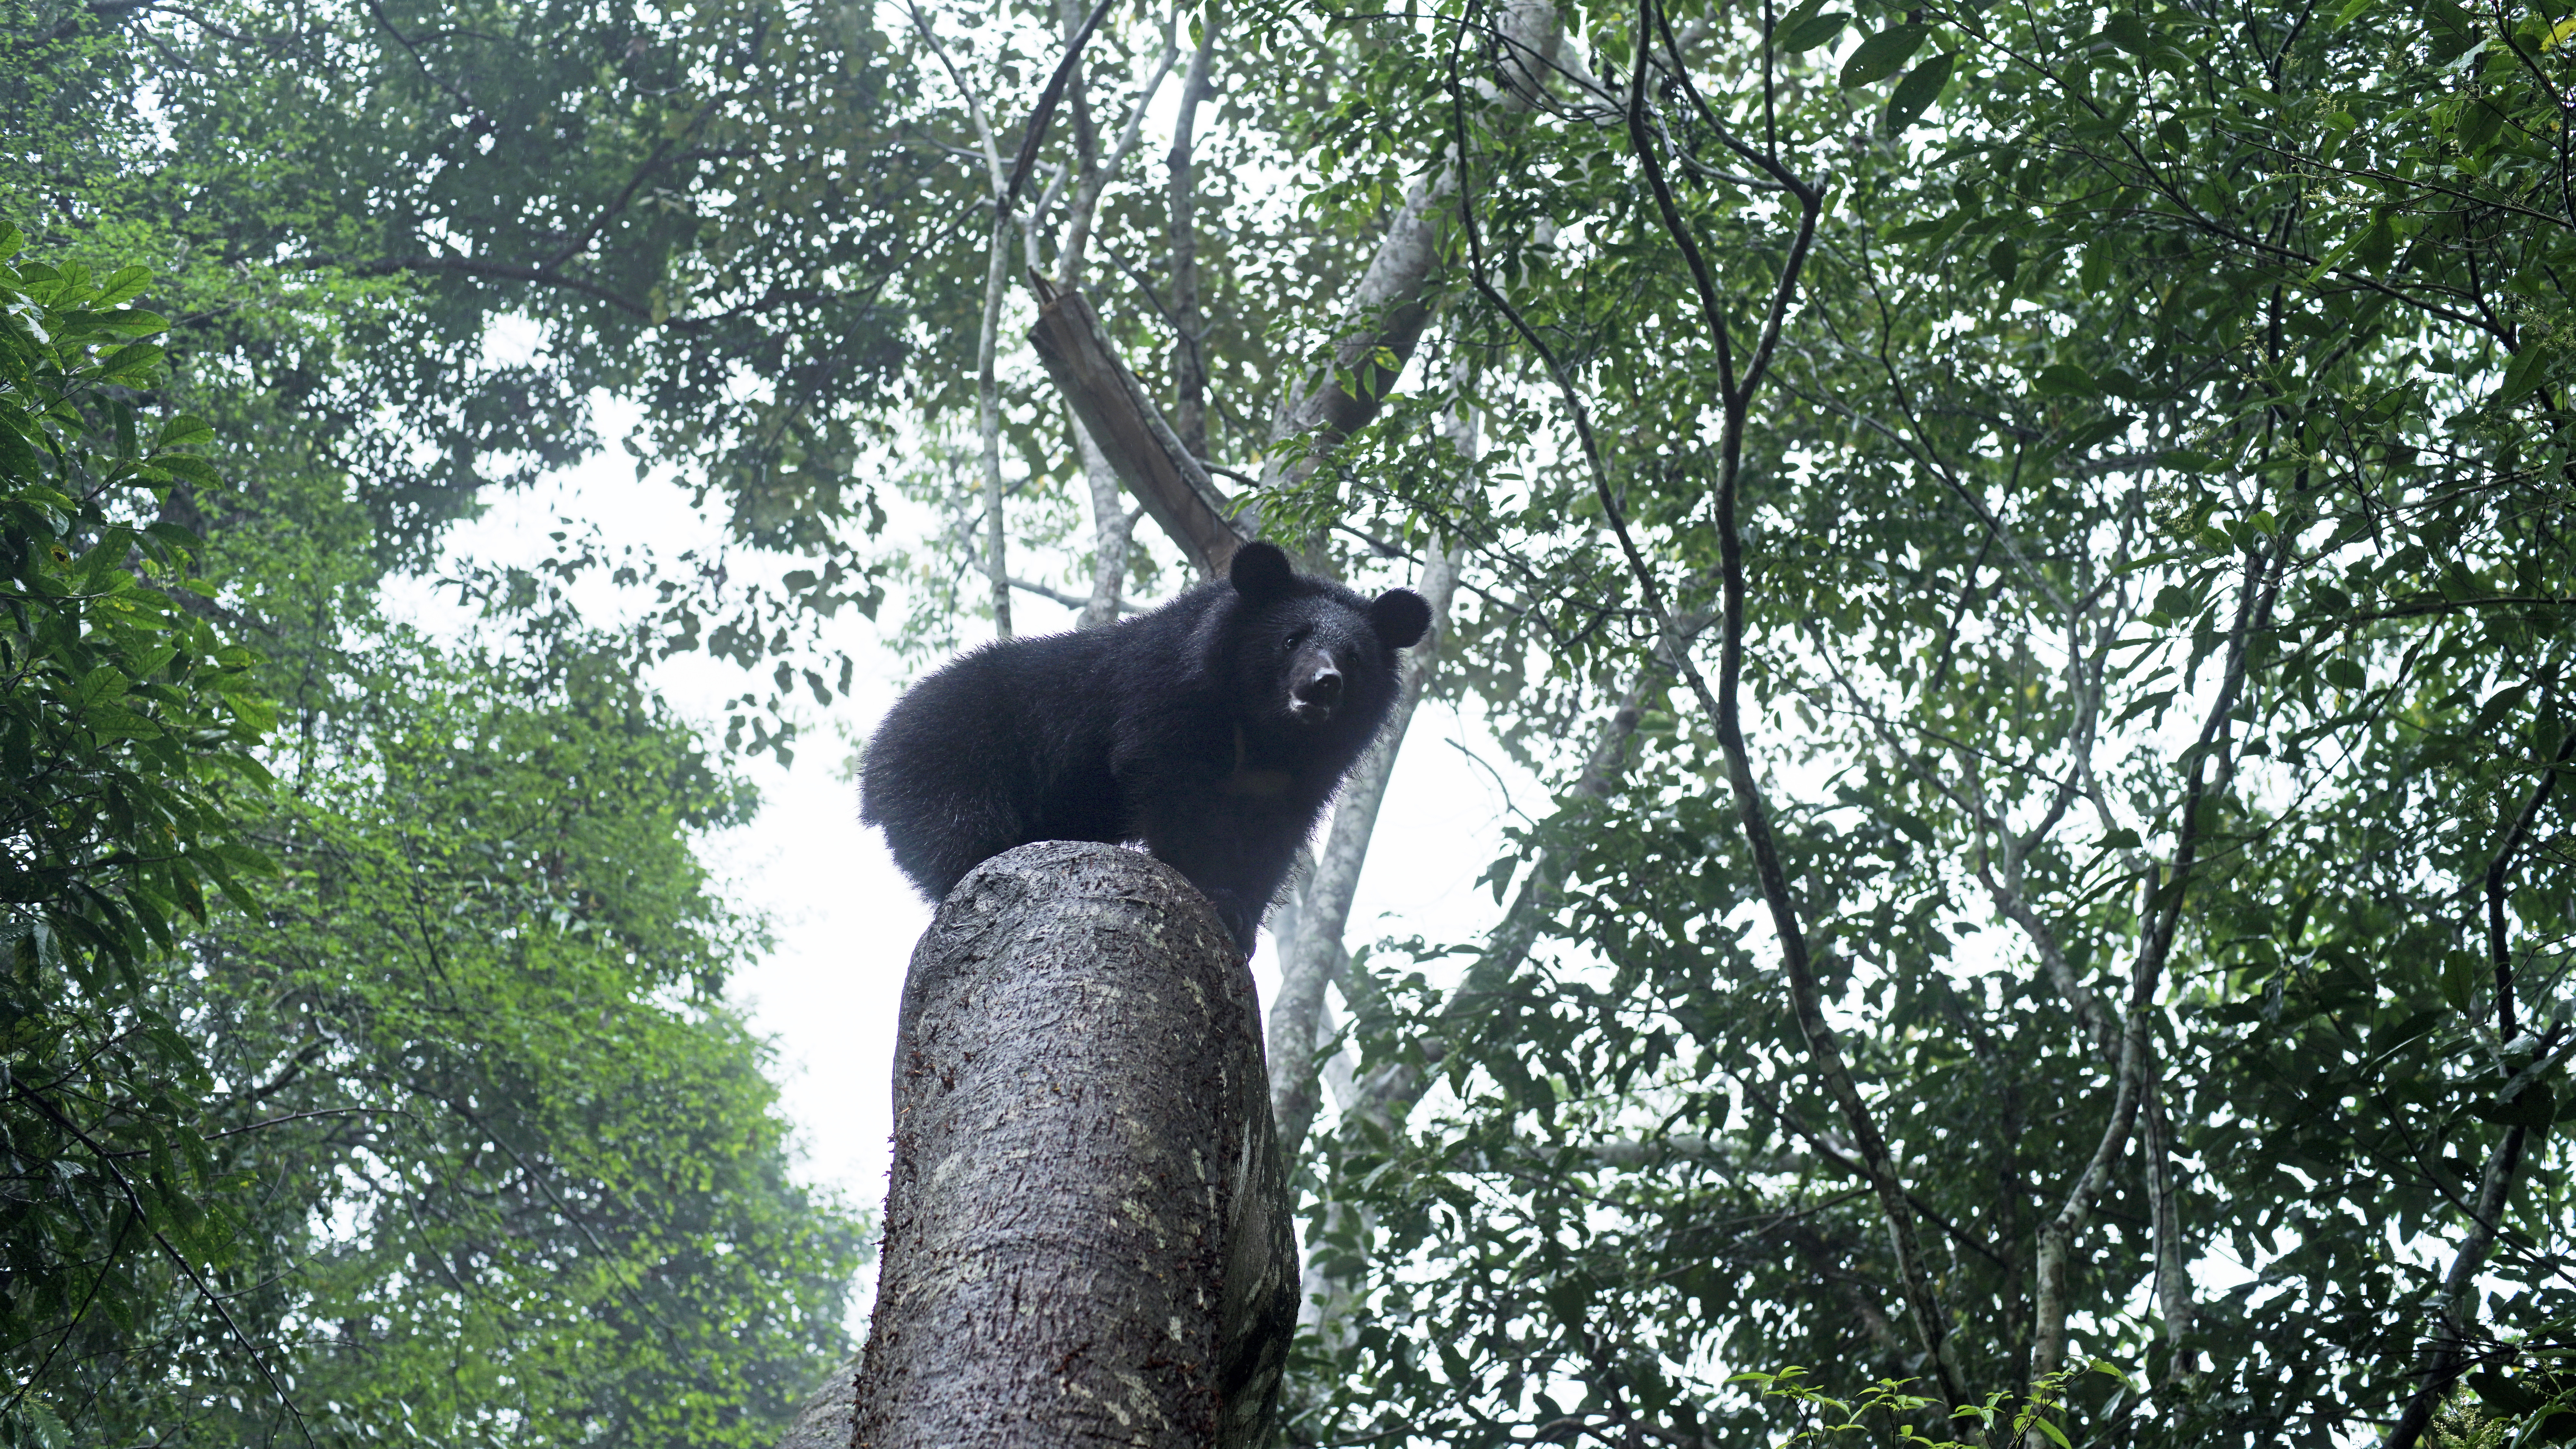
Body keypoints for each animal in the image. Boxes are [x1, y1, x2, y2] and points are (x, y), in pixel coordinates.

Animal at [860, 539, 1432, 949]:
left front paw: (1243, 918)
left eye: (1355, 657)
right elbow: (1173, 790)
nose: (1323, 684)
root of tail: (874, 760)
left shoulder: (1303, 774)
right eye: (1292, 640)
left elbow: (1273, 835)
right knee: (966, 838)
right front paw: (1212, 893)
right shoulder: (1165, 702)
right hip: (948, 767)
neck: (1262, 729)